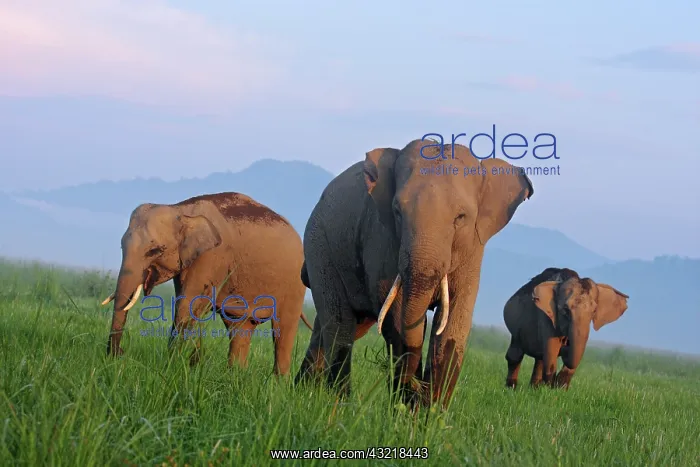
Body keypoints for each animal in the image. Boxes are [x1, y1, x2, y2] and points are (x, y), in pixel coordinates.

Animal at [100, 192, 312, 375]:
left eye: (155, 251)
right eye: (121, 246)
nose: (120, 354)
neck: (181, 210)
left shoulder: (211, 256)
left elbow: (189, 306)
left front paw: (174, 367)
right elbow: (188, 307)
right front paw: (191, 366)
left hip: (295, 283)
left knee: (282, 330)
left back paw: (277, 384)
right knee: (240, 327)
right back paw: (235, 376)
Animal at [294, 138, 534, 410]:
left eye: (461, 217)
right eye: (397, 211)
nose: (417, 391)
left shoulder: (473, 249)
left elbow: (454, 324)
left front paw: (430, 414)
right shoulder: (382, 236)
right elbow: (396, 313)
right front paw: (406, 409)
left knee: (340, 325)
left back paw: (303, 391)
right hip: (319, 246)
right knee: (340, 324)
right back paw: (337, 402)